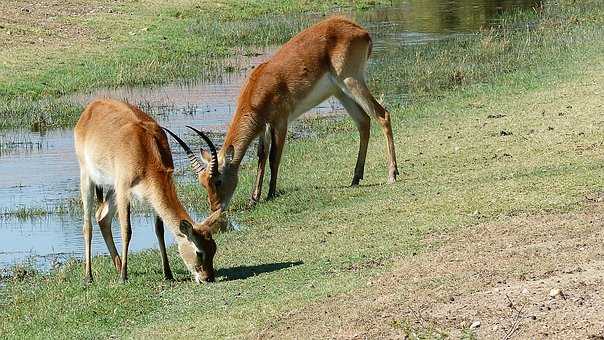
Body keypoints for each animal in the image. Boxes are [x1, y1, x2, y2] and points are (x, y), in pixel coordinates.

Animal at [73, 99, 224, 284]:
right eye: (199, 252)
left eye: (214, 247)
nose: (208, 277)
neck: (145, 149)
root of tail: (92, 106)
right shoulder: (123, 190)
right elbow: (126, 230)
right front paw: (123, 278)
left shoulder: (151, 194)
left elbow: (159, 230)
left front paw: (168, 273)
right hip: (88, 178)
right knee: (87, 225)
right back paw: (89, 277)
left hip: (112, 190)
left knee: (102, 216)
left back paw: (118, 266)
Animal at [172, 16, 396, 212]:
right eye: (203, 183)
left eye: (217, 180)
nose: (215, 208)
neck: (257, 90)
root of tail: (360, 30)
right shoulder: (263, 127)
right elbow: (261, 157)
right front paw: (253, 198)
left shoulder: (280, 121)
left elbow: (274, 157)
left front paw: (271, 194)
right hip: (340, 91)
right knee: (364, 122)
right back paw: (355, 178)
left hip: (351, 81)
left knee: (382, 115)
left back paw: (392, 175)